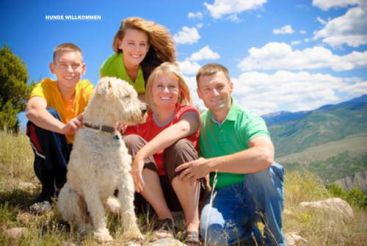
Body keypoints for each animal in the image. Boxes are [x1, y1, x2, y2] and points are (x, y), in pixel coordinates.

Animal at [57, 77, 145, 242]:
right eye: (126, 96)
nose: (145, 110)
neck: (103, 132)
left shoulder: (124, 177)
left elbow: (129, 208)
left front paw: (133, 232)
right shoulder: (90, 181)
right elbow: (97, 211)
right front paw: (103, 235)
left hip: (112, 203)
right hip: (70, 197)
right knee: (79, 220)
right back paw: (87, 229)